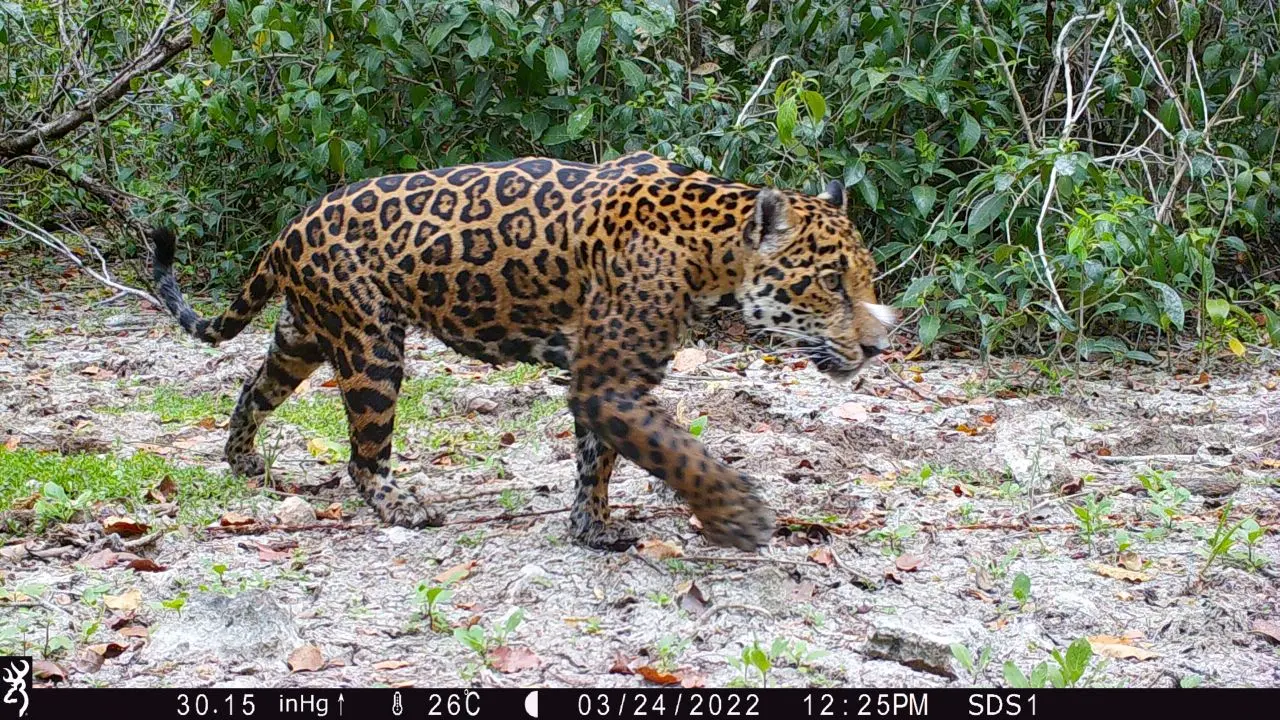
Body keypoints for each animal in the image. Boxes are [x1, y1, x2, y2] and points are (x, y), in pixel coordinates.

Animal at [151, 151, 897, 552]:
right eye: (832, 282)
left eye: (864, 279)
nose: (878, 345)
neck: (711, 249)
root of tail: (291, 227)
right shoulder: (608, 382)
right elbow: (677, 451)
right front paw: (736, 515)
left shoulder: (605, 377)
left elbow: (599, 458)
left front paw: (592, 527)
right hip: (370, 343)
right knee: (363, 455)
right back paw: (401, 505)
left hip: (304, 334)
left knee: (253, 387)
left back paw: (241, 458)